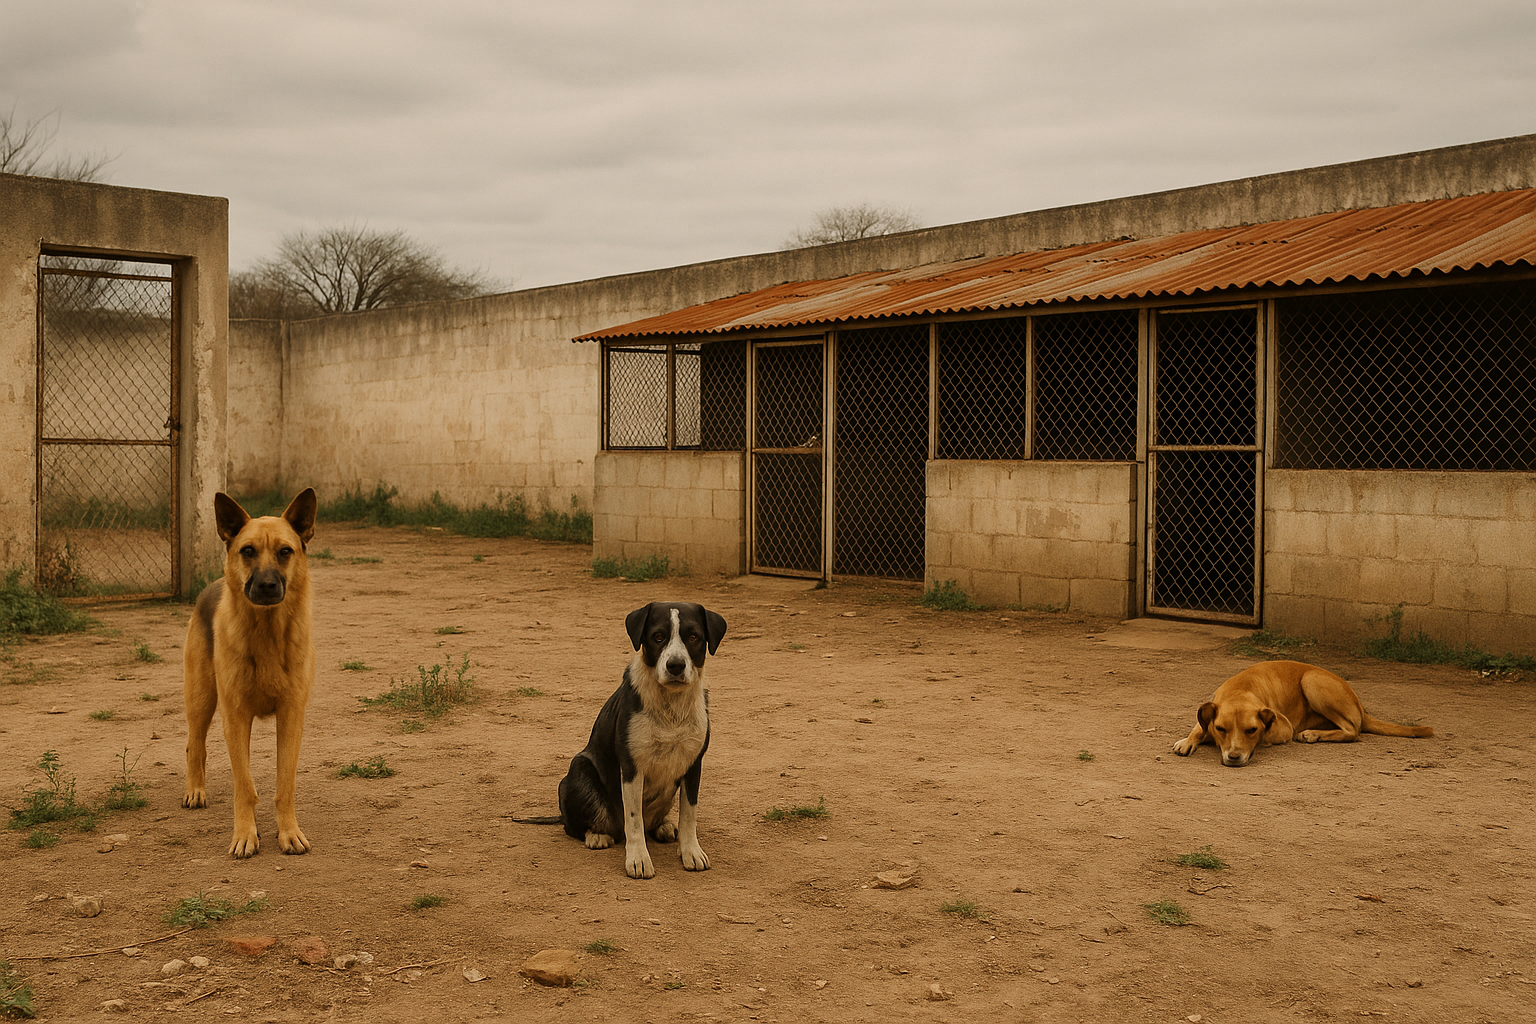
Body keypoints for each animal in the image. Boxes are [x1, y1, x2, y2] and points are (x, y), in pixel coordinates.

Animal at [182, 489, 317, 858]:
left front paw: (289, 832)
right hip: (201, 700)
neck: (266, 633)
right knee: (194, 745)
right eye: (248, 551)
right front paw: (244, 834)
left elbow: (285, 783)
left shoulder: (291, 716)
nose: (267, 585)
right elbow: (244, 785)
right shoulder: (236, 717)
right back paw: (195, 789)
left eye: (285, 551)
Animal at [516, 601, 726, 879]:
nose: (675, 665)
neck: (670, 706)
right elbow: (634, 819)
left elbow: (689, 815)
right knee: (575, 826)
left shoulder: (694, 764)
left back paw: (663, 827)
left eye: (693, 637)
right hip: (578, 769)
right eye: (658, 637)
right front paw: (638, 859)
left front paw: (690, 851)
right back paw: (596, 835)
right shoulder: (631, 767)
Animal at [1173, 659, 1432, 767]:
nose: (1234, 757)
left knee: (1353, 731)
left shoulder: (1283, 726)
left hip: (1312, 681)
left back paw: (1312, 734)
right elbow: (1199, 727)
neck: (1240, 690)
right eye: (1221, 729)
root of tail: (1360, 704)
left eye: (1252, 730)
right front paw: (1188, 741)